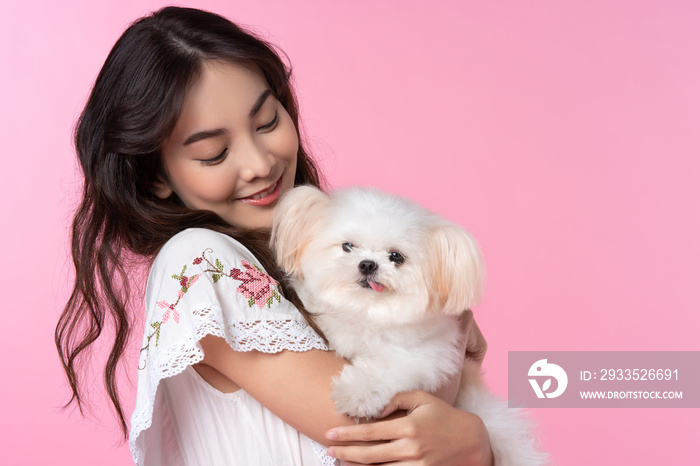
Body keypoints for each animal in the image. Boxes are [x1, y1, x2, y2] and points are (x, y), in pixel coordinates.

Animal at [270, 187, 544, 466]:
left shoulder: (427, 356)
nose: (367, 264)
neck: (366, 311)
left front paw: (356, 393)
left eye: (396, 257)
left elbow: (383, 369)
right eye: (348, 246)